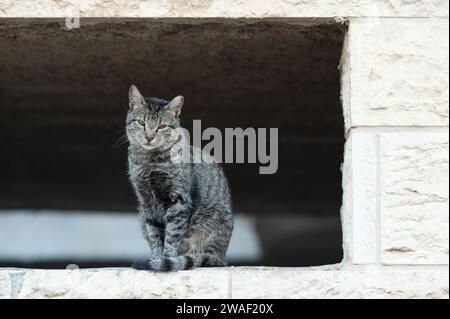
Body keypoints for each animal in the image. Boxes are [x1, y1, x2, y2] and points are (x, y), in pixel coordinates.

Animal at [125, 85, 234, 272]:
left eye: (161, 126)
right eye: (141, 123)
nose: (149, 137)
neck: (149, 162)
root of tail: (222, 256)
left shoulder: (179, 200)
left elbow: (172, 235)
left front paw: (166, 260)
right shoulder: (147, 202)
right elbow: (155, 235)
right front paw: (156, 258)